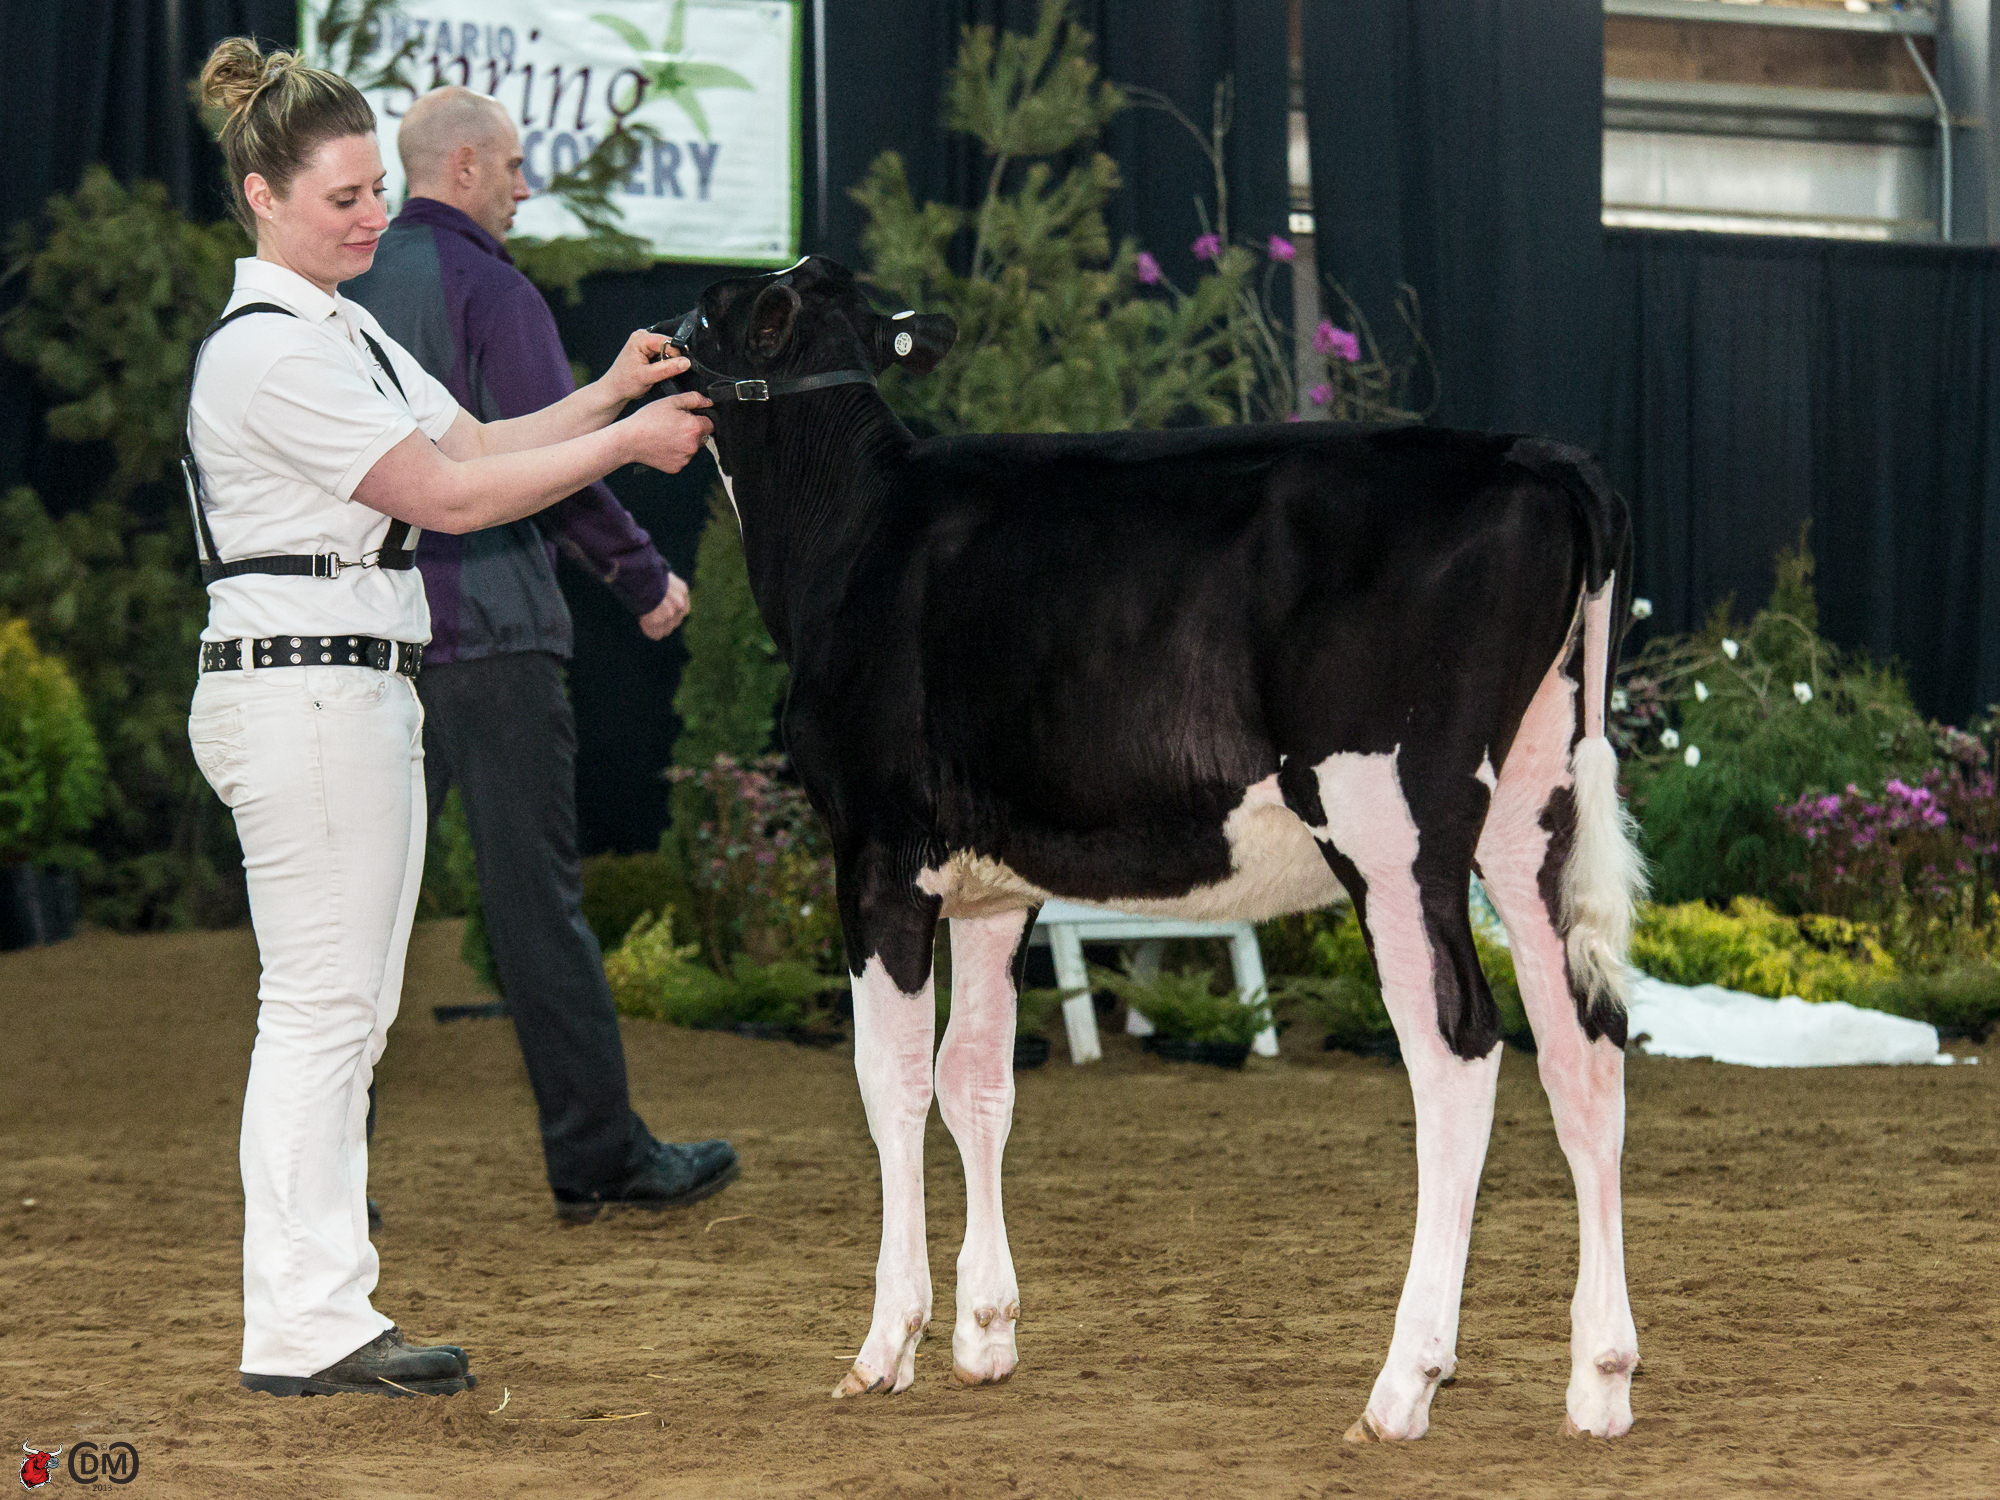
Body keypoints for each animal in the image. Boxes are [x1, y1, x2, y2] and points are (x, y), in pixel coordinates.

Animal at [655, 255, 1647, 1441]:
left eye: (709, 308)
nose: (651, 339)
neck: (852, 531)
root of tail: (1527, 455)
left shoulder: (877, 853)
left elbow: (888, 1081)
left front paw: (888, 1340)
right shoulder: (996, 883)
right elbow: (973, 1077)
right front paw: (985, 1333)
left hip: (1392, 825)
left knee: (1459, 1049)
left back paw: (1404, 1383)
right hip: (1535, 813)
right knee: (1585, 1043)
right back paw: (1599, 1378)